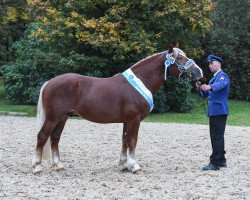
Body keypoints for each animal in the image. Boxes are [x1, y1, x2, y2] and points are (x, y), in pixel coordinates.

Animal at [31, 46, 203, 173]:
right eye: (179, 58)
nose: (199, 72)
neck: (140, 82)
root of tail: (49, 82)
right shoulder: (134, 120)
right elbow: (132, 141)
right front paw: (134, 166)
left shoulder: (127, 121)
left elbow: (125, 140)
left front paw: (124, 165)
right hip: (53, 117)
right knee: (42, 136)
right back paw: (37, 167)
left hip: (63, 117)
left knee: (55, 138)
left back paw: (58, 165)